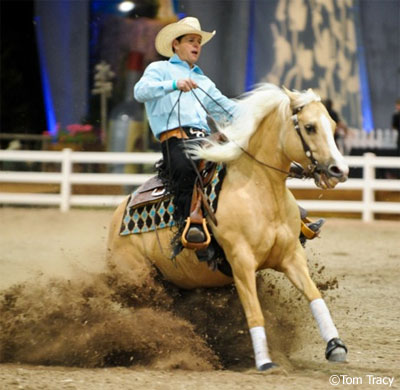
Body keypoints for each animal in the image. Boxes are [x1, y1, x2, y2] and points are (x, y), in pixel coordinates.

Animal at [108, 84, 348, 372]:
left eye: (332, 125)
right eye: (310, 127)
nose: (339, 170)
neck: (261, 194)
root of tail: (119, 213)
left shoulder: (292, 256)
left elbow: (314, 296)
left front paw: (335, 346)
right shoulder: (241, 262)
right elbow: (254, 312)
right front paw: (264, 362)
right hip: (139, 279)